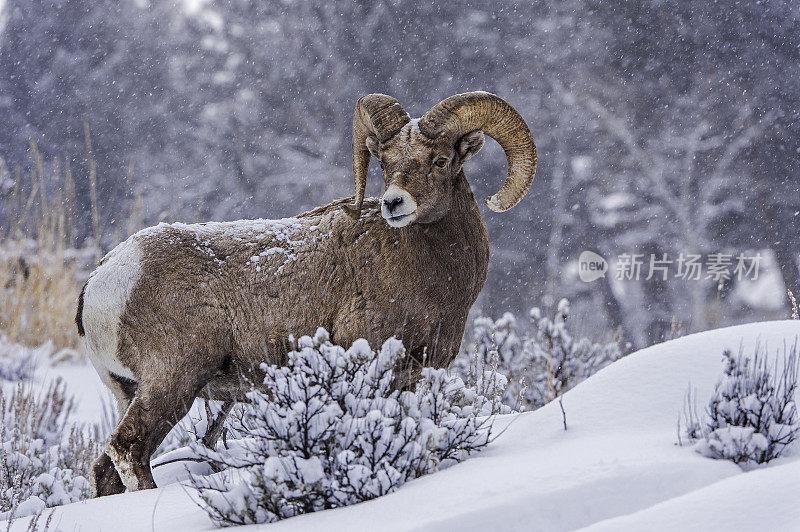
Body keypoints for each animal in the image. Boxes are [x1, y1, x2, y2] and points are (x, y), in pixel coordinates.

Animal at [78, 91, 536, 494]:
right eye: (385, 163)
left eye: (441, 160)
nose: (394, 203)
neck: (431, 272)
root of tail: (101, 281)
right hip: (172, 382)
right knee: (129, 451)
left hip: (130, 390)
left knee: (104, 470)